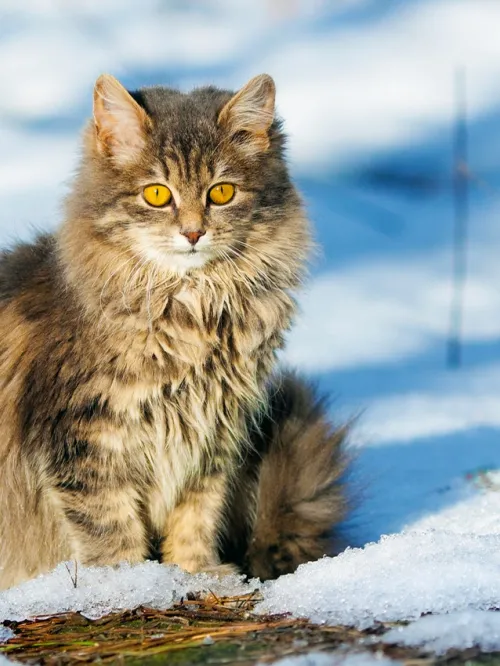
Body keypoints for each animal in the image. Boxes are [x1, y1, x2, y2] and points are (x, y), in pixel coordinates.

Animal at [0, 72, 348, 588]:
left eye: (221, 193)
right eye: (157, 195)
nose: (193, 233)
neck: (192, 309)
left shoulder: (213, 437)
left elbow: (197, 517)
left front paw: (197, 573)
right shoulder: (84, 441)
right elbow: (109, 528)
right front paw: (125, 584)